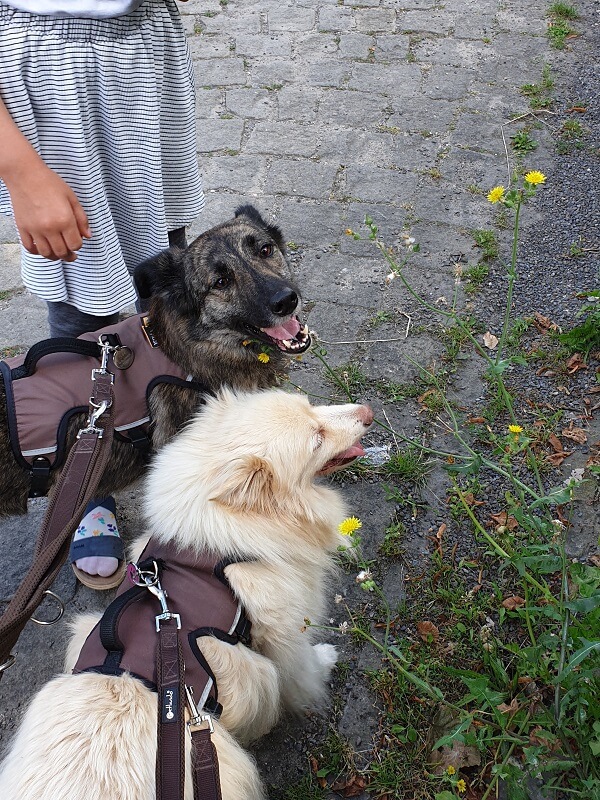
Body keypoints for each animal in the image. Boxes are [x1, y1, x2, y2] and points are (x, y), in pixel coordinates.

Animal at [0, 390, 372, 800]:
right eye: (316, 439)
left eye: (309, 405)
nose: (368, 412)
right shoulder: (284, 635)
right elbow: (303, 671)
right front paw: (327, 660)